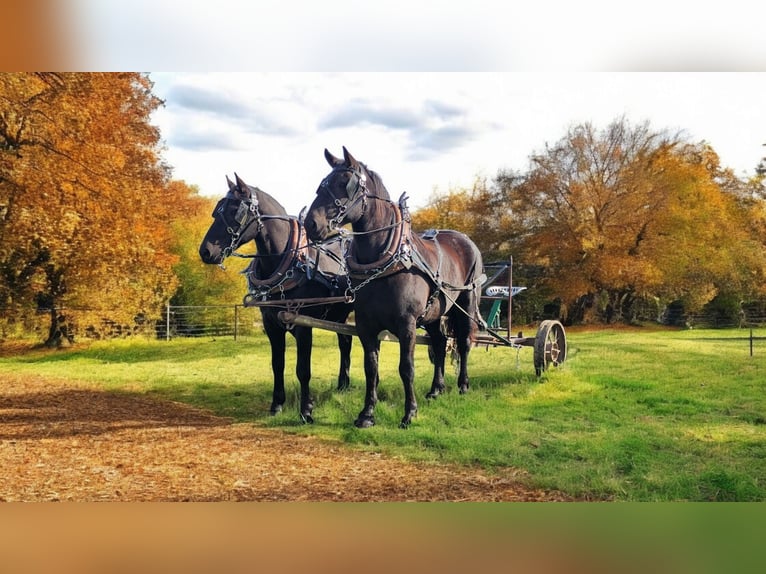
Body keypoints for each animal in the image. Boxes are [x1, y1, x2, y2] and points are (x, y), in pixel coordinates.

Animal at [198, 174, 354, 424]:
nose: (205, 251)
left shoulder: (303, 325)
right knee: (345, 341)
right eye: (216, 211)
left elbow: (303, 369)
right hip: (338, 314)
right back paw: (343, 385)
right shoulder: (271, 325)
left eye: (234, 210)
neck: (288, 262)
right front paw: (277, 405)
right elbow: (277, 364)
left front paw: (306, 410)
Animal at [306, 148, 486, 428]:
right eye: (322, 184)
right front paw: (367, 414)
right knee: (440, 342)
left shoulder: (407, 324)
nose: (310, 224)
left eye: (344, 184)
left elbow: (406, 368)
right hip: (434, 314)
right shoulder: (365, 325)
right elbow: (371, 368)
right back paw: (436, 389)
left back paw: (463, 385)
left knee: (464, 342)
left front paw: (409, 412)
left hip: (466, 303)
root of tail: (466, 240)